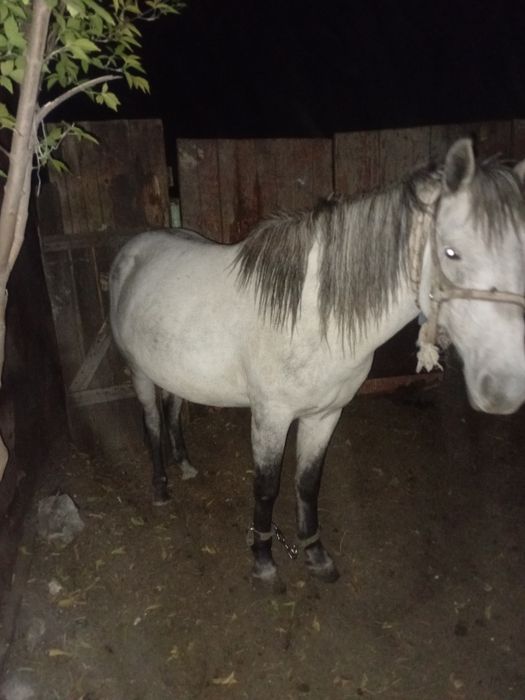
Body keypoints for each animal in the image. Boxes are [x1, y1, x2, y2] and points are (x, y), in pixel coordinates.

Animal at [109, 138, 525, 591]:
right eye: (452, 252)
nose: (503, 388)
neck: (311, 316)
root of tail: (133, 249)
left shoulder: (325, 414)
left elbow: (307, 483)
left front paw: (315, 554)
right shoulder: (271, 417)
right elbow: (266, 488)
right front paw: (263, 561)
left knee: (173, 409)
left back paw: (184, 464)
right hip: (140, 373)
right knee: (152, 422)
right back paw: (161, 487)